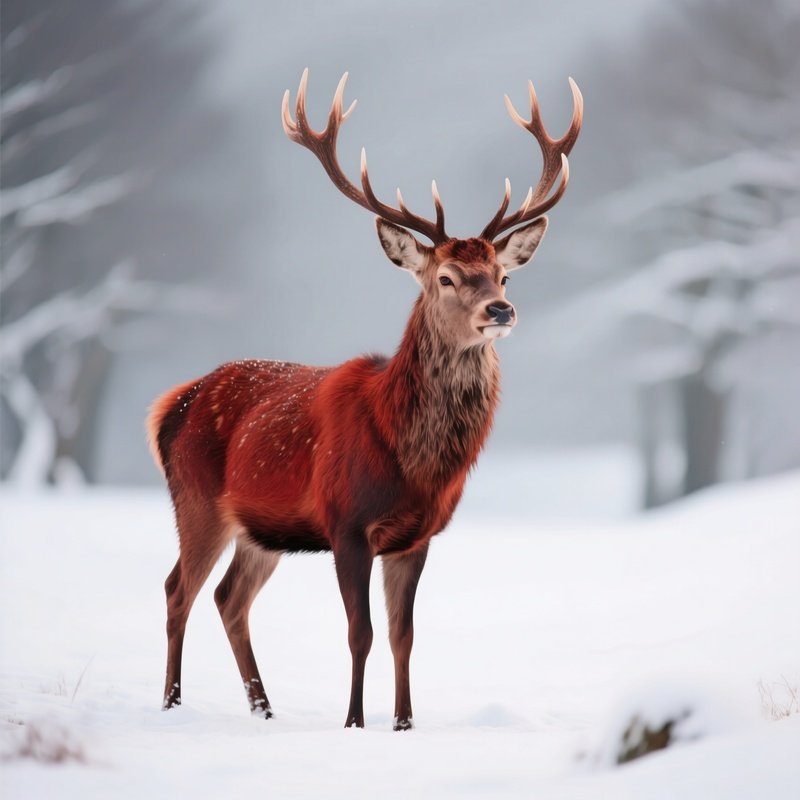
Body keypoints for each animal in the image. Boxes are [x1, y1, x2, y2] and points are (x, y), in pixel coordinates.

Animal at [147, 69, 582, 730]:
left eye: (504, 275)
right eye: (445, 278)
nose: (501, 310)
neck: (411, 460)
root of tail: (171, 404)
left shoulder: (417, 537)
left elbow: (404, 635)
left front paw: (404, 723)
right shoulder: (346, 523)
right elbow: (361, 633)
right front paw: (354, 722)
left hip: (259, 528)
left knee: (228, 598)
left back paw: (264, 710)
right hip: (195, 499)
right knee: (178, 590)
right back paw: (170, 704)